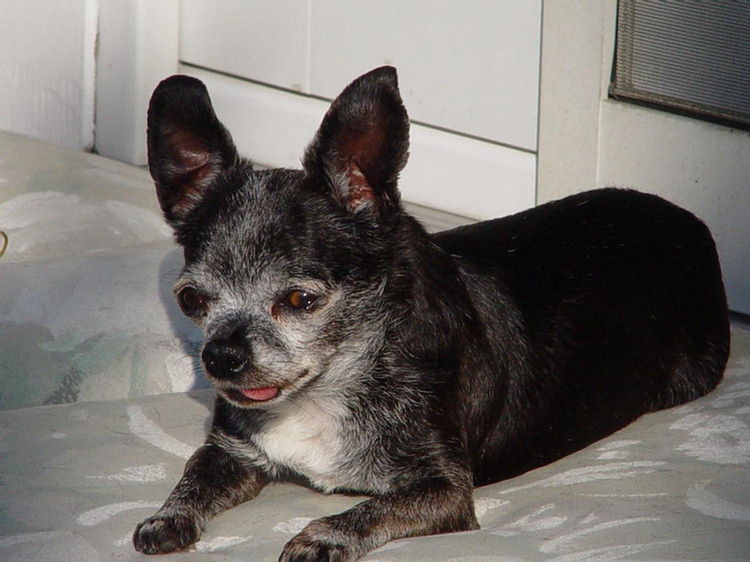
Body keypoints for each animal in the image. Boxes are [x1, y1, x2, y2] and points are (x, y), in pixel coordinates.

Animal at [132, 66, 732, 560]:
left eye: (300, 301)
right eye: (191, 300)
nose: (221, 355)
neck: (337, 380)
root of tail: (686, 219)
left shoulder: (444, 491)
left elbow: (369, 508)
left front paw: (320, 536)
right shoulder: (231, 452)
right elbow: (192, 473)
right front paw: (167, 515)